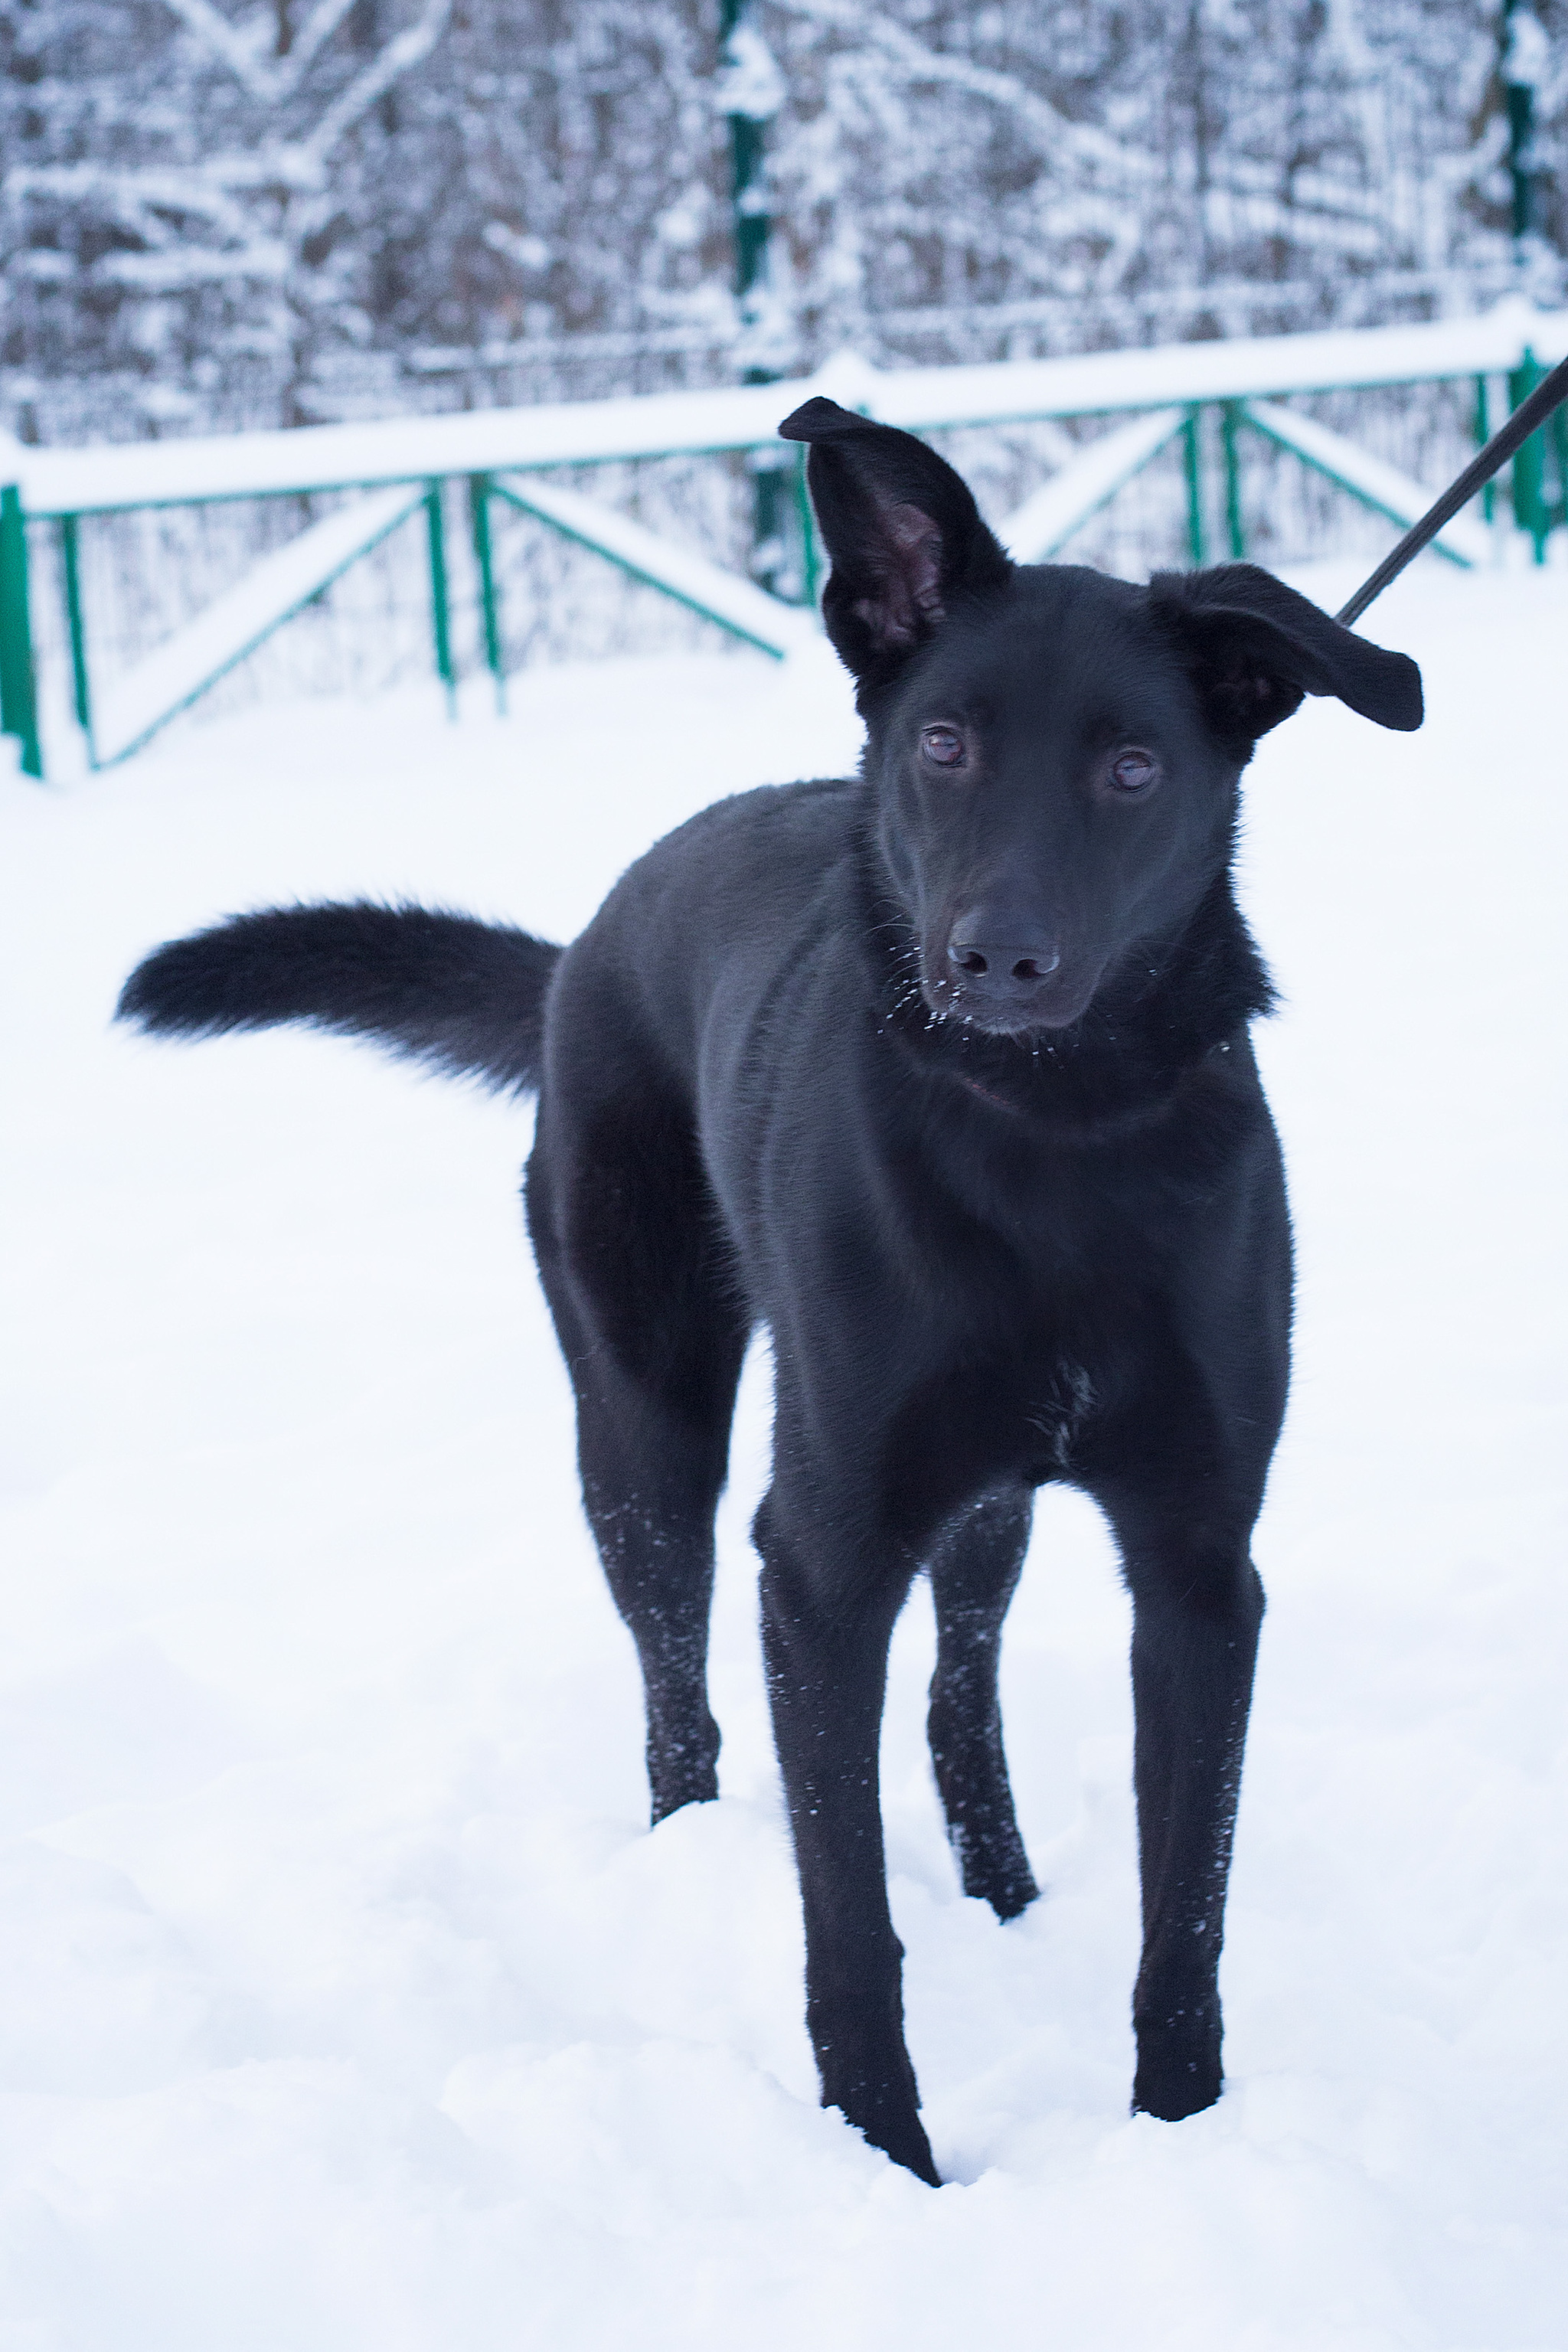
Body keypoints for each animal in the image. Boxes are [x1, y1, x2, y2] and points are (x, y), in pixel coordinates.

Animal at [122, 395, 1419, 2173]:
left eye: (1134, 767)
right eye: (942, 745)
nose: (993, 956)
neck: (1050, 1133)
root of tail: (582, 949)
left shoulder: (1199, 1566)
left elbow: (1186, 1915)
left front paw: (1179, 2137)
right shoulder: (815, 1562)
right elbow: (843, 1917)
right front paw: (888, 2164)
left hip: (981, 1500)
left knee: (956, 1697)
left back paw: (1006, 1892)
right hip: (647, 1432)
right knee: (675, 1700)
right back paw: (687, 1854)